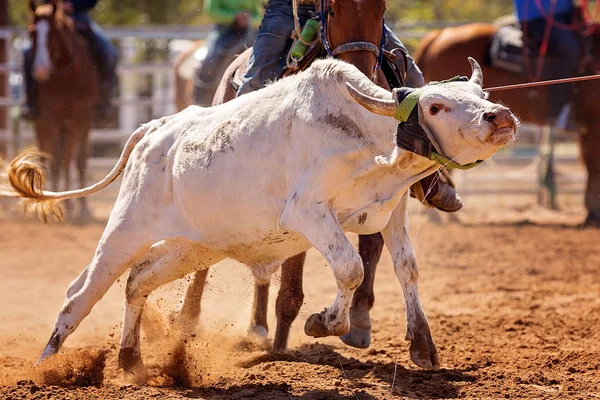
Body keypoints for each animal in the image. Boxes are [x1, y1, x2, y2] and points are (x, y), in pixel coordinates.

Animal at [28, 0, 98, 220]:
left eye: (52, 33)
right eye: (31, 33)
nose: (40, 70)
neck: (68, 78)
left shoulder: (82, 119)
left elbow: (77, 160)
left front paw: (80, 209)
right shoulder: (52, 118)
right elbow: (56, 160)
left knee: (71, 157)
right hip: (43, 123)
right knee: (46, 155)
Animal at [173, 0, 440, 372]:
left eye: (381, 10)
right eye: (334, 10)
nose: (357, 75)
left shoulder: (387, 197)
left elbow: (394, 260)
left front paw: (405, 338)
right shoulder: (306, 207)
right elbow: (293, 285)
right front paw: (282, 347)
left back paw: (259, 326)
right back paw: (196, 318)